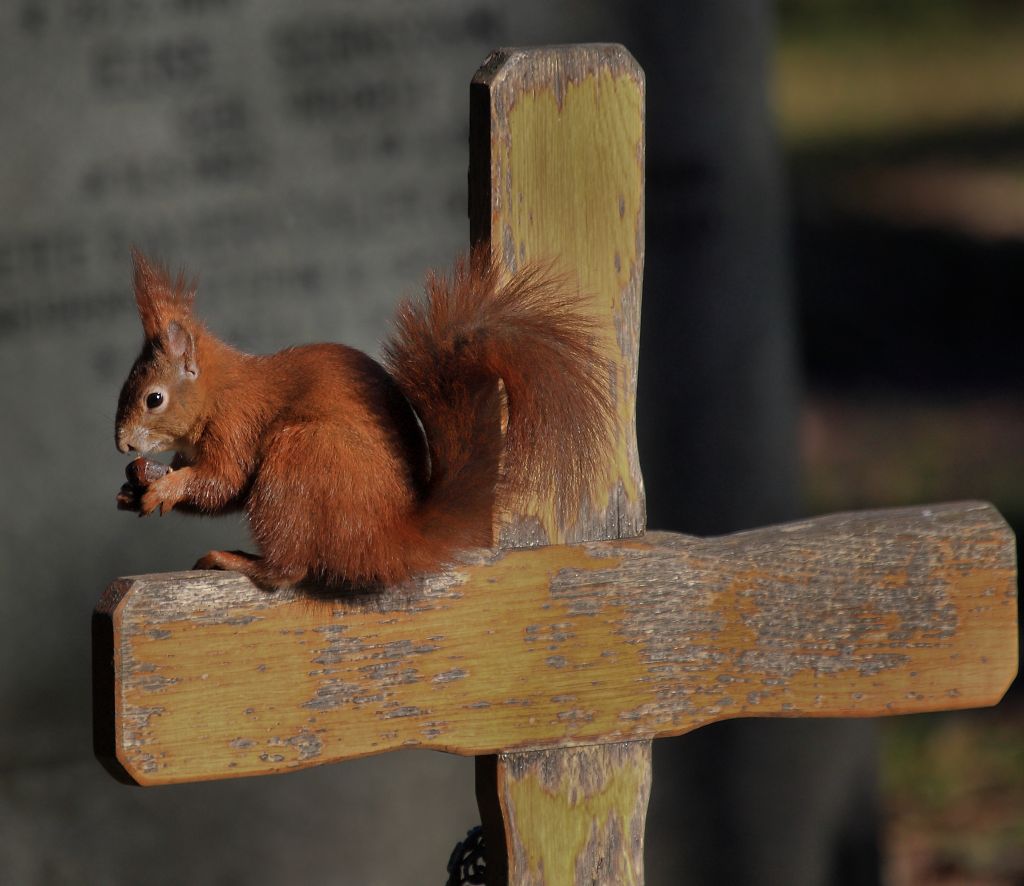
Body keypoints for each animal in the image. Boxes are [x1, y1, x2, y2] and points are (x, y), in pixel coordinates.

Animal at [116, 246, 610, 585]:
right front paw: (138, 484)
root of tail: (388, 538)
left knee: (288, 571)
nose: (123, 444)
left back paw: (240, 562)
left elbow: (224, 481)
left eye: (153, 399)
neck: (216, 392)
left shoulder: (236, 423)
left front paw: (166, 487)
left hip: (299, 460)